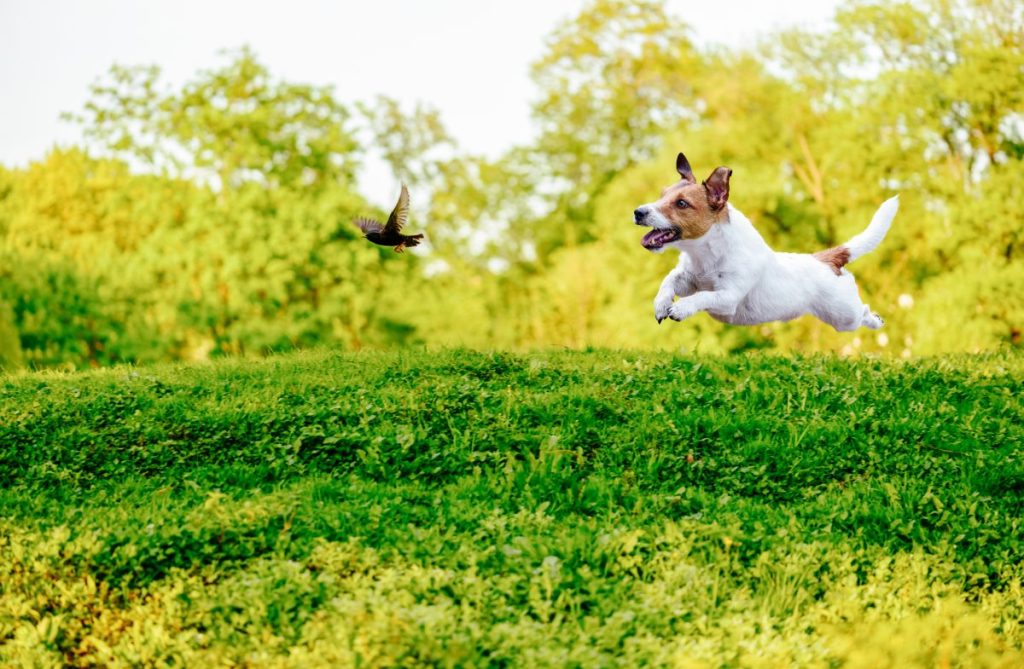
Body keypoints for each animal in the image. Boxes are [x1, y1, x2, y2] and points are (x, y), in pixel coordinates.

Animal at [630, 149, 897, 329]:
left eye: (682, 203)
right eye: (662, 194)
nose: (638, 211)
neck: (705, 254)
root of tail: (825, 259)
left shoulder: (728, 296)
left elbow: (703, 296)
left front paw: (682, 308)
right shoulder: (688, 279)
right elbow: (669, 281)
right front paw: (661, 303)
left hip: (844, 315)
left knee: (862, 312)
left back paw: (875, 320)